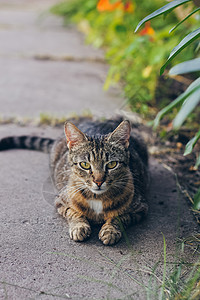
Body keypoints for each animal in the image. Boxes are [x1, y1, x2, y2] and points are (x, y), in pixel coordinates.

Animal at [0, 118, 148, 245]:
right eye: (85, 165)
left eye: (112, 164)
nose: (98, 181)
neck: (97, 198)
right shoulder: (60, 201)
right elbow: (74, 213)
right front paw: (79, 227)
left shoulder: (140, 209)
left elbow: (119, 217)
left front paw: (110, 230)